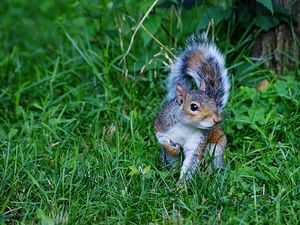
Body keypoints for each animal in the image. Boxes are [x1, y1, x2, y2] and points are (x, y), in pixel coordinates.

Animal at [155, 33, 230, 181]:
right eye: (194, 107)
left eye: (213, 102)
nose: (216, 120)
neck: (187, 126)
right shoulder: (162, 124)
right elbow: (160, 138)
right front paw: (173, 149)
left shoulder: (198, 141)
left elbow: (191, 162)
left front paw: (181, 186)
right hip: (169, 158)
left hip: (216, 148)